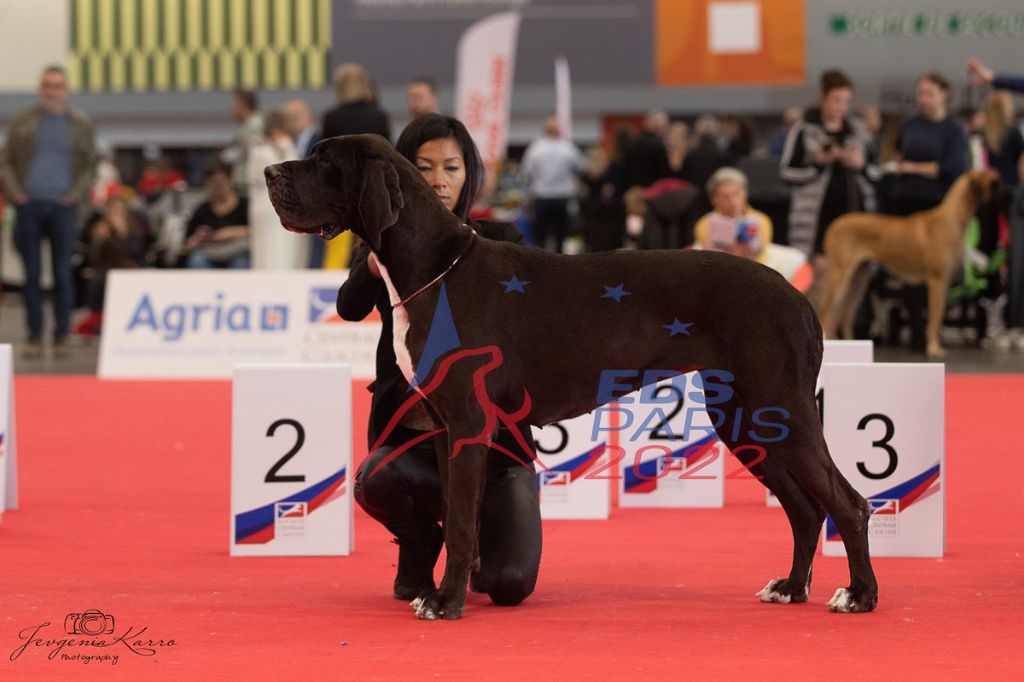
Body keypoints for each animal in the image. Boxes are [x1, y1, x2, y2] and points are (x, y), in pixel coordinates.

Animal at [266, 133, 880, 614]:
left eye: (324, 160)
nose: (270, 173)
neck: (435, 267)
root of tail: (797, 296)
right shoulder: (444, 425)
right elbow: (460, 514)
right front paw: (458, 586)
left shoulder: (467, 420)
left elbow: (461, 520)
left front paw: (447, 602)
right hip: (745, 418)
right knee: (805, 509)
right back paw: (792, 587)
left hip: (781, 407)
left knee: (847, 502)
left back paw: (860, 594)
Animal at [819, 169, 995, 358]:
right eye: (995, 183)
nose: (1008, 195)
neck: (951, 218)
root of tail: (833, 224)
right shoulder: (937, 281)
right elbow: (936, 317)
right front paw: (934, 348)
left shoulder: (944, 283)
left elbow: (938, 316)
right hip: (840, 276)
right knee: (827, 313)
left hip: (858, 280)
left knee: (843, 317)